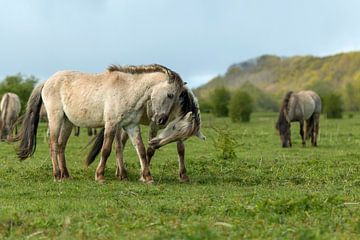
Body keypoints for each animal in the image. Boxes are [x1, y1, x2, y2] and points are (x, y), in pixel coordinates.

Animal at [16, 63, 186, 182]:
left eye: (178, 96)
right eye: (170, 95)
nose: (162, 120)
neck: (127, 89)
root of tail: (46, 81)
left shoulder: (131, 126)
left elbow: (141, 150)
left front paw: (148, 177)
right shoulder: (111, 124)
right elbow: (106, 150)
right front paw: (100, 176)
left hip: (67, 123)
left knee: (60, 146)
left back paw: (66, 175)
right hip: (55, 118)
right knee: (53, 145)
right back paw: (57, 175)